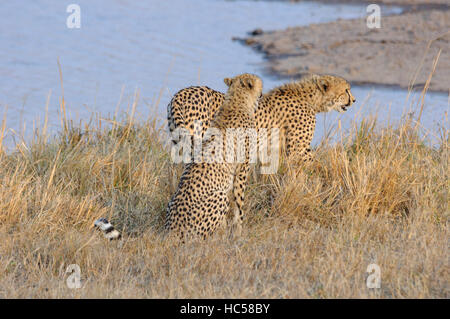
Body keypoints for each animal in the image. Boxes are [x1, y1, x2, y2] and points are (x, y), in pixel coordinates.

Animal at [166, 74, 264, 240]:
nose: (262, 94)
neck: (236, 101)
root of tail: (172, 231)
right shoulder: (242, 169)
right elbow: (239, 202)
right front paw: (238, 231)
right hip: (219, 196)